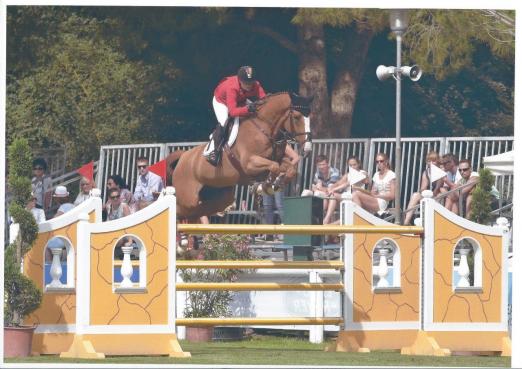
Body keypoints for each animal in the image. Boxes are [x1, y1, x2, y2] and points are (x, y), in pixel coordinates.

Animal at [169, 91, 310, 221]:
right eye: (297, 117)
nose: (307, 149)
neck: (264, 129)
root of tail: (182, 157)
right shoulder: (250, 163)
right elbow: (274, 167)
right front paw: (265, 187)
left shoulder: (280, 160)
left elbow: (290, 169)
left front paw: (278, 184)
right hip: (188, 198)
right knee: (181, 210)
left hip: (220, 196)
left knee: (199, 211)